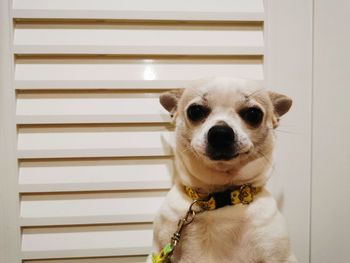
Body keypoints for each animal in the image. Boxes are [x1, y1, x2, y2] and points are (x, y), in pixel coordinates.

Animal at [148, 78, 298, 263]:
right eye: (195, 111)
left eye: (254, 114)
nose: (220, 133)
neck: (219, 200)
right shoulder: (157, 253)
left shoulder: (279, 256)